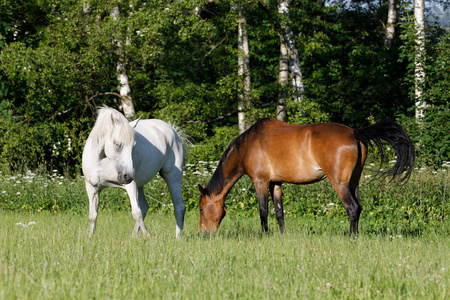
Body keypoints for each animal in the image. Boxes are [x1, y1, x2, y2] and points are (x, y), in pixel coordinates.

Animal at [81, 106, 187, 238]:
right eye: (117, 144)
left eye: (133, 146)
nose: (128, 176)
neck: (101, 161)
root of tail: (172, 130)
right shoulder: (92, 188)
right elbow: (92, 215)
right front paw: (90, 237)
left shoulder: (130, 185)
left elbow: (136, 212)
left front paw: (148, 236)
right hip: (140, 184)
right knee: (145, 206)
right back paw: (134, 236)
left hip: (172, 178)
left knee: (179, 207)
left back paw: (177, 237)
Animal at [197, 118, 414, 236]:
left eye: (201, 208)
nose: (203, 234)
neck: (249, 145)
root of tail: (355, 133)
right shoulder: (276, 183)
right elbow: (279, 213)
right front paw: (282, 235)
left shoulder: (260, 182)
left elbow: (263, 212)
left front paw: (264, 235)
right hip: (354, 183)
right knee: (358, 208)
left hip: (340, 184)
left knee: (352, 208)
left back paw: (351, 238)